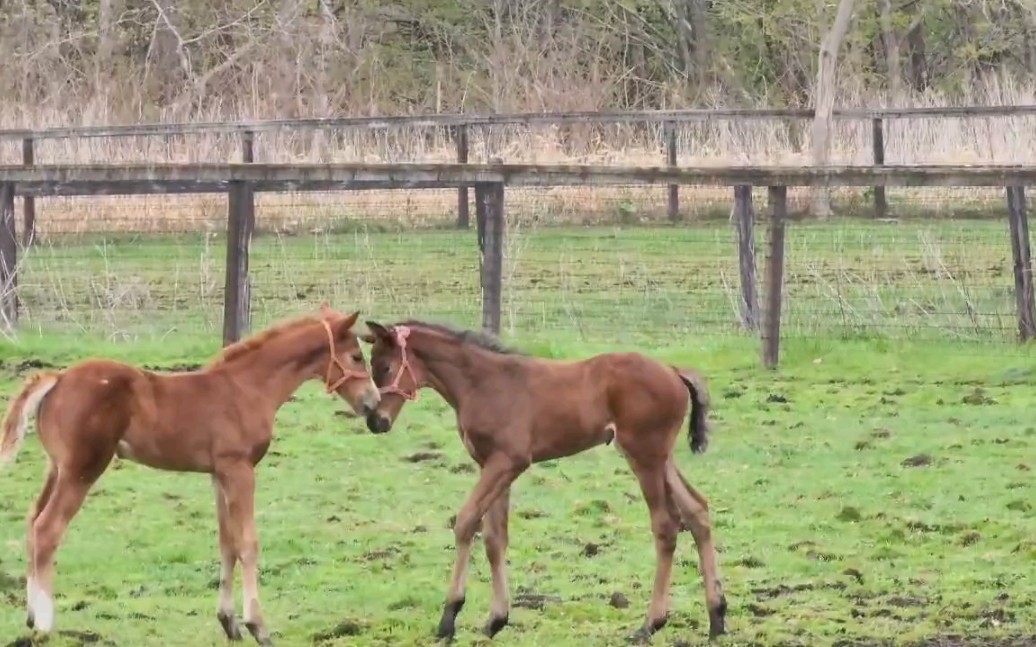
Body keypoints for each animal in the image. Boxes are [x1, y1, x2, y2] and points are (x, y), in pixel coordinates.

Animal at [0, 304, 381, 641]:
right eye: (356, 357)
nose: (374, 406)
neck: (246, 388)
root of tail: (58, 377)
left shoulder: (219, 474)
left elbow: (227, 542)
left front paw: (229, 622)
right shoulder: (240, 469)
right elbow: (248, 543)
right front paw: (258, 627)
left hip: (57, 467)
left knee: (32, 522)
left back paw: (31, 617)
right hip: (82, 468)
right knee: (48, 529)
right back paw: (46, 624)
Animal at [364, 320, 729, 641]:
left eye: (384, 367)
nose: (375, 421)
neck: (481, 382)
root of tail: (673, 370)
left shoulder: (508, 461)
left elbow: (466, 522)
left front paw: (449, 618)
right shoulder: (492, 465)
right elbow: (495, 538)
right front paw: (496, 619)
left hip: (645, 455)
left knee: (666, 524)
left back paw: (649, 624)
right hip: (660, 457)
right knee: (697, 511)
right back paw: (717, 617)